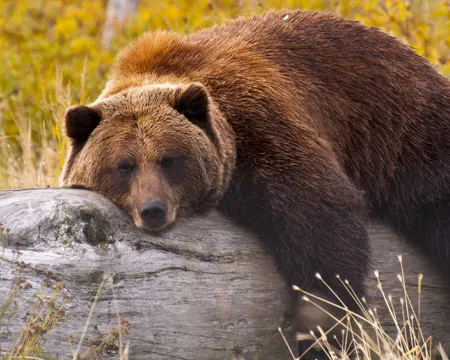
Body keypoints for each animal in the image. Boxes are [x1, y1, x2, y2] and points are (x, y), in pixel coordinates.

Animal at [60, 10, 450, 324]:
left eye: (169, 159)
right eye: (123, 165)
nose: (153, 209)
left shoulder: (261, 125)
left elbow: (322, 221)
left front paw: (323, 321)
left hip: (403, 131)